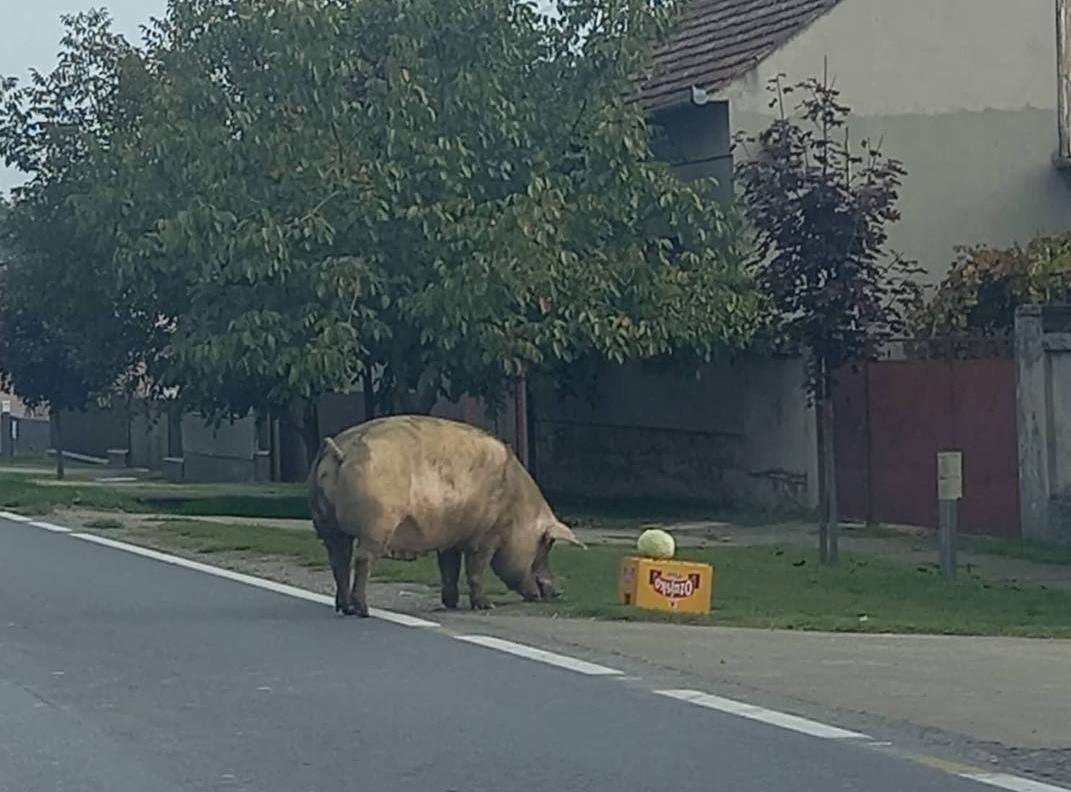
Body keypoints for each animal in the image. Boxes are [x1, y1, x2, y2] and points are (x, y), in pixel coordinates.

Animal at [306, 415, 582, 621]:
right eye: (545, 546)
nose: (558, 591)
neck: (517, 511)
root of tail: (343, 449)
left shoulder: (450, 537)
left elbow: (448, 568)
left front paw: (450, 603)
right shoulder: (486, 536)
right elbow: (476, 569)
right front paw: (486, 606)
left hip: (327, 524)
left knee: (338, 560)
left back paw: (344, 607)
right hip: (376, 523)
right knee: (362, 559)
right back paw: (362, 610)